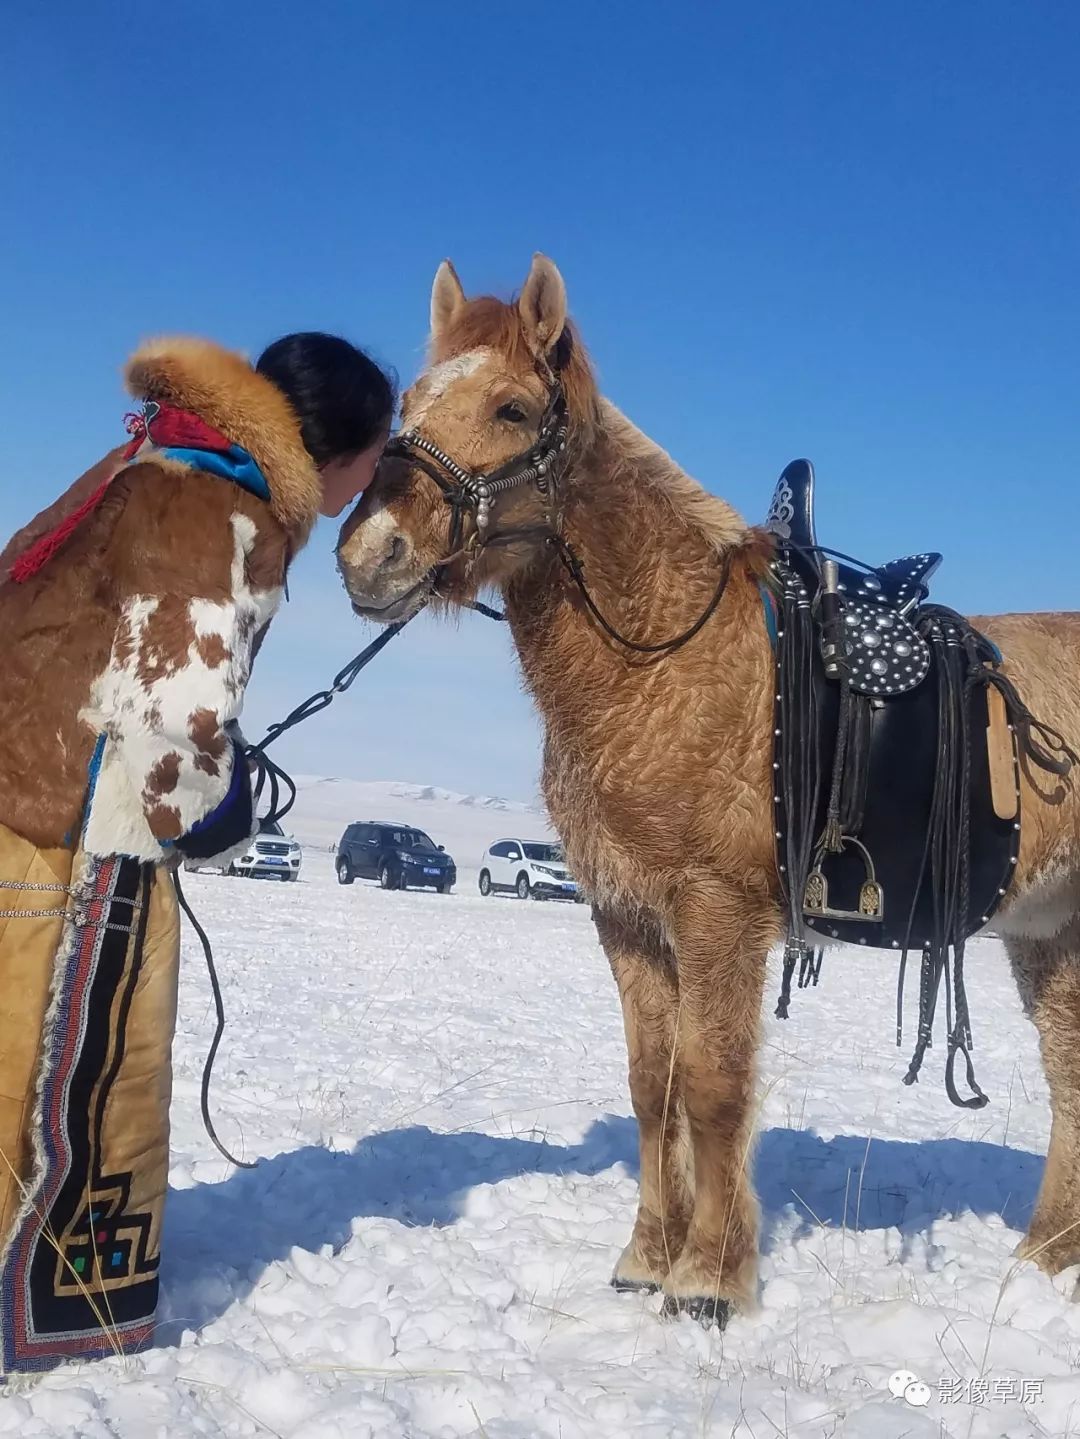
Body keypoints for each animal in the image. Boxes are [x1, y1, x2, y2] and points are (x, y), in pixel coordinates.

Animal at [337, 259, 1080, 1323]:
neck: (663, 654)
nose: (371, 554)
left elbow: (716, 1084)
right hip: (1048, 933)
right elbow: (655, 1083)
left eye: (513, 408)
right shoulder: (628, 915)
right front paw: (648, 1256)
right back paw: (1045, 1254)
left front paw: (710, 1280)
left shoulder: (718, 910)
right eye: (409, 404)